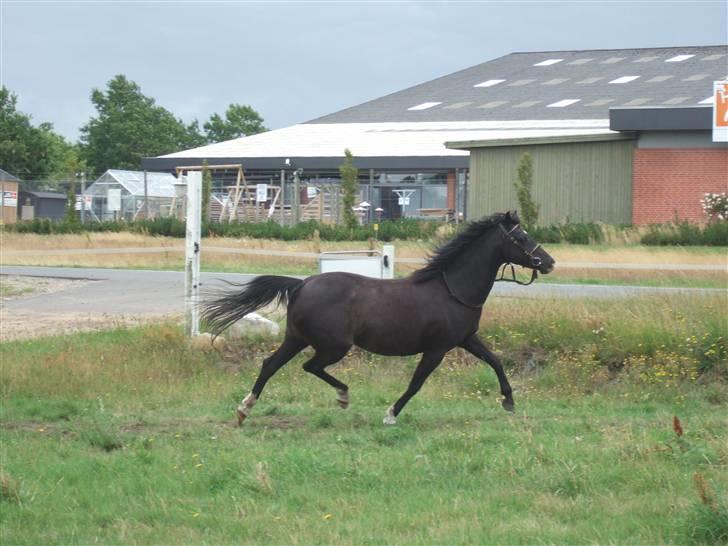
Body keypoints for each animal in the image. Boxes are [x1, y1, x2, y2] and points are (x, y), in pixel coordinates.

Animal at [202, 210, 556, 428]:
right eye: (521, 237)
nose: (549, 262)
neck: (452, 288)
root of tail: (301, 284)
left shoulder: (467, 339)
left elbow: (495, 361)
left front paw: (508, 401)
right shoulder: (437, 349)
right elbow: (416, 384)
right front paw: (390, 414)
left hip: (297, 338)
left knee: (270, 365)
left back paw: (244, 410)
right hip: (334, 346)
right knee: (310, 367)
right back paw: (343, 396)